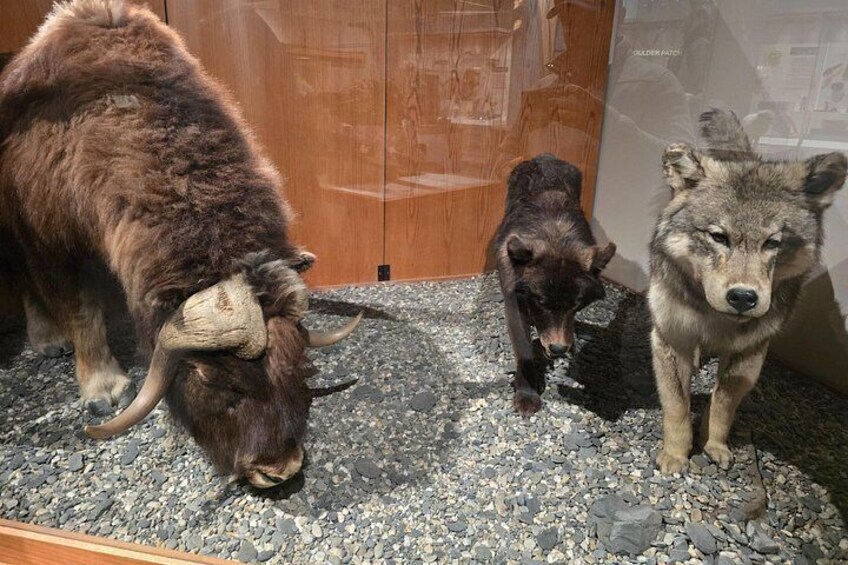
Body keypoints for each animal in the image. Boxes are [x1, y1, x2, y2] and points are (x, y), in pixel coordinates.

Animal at [495, 154, 616, 416]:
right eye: (541, 302)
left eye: (576, 304)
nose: (559, 349)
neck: (554, 237)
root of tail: (546, 157)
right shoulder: (514, 306)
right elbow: (524, 352)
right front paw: (527, 394)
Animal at [649, 109, 847, 473]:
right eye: (719, 236)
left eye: (772, 243)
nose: (743, 297)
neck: (714, 319)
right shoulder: (671, 339)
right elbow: (677, 406)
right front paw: (675, 455)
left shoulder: (749, 354)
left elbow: (722, 404)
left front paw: (714, 445)